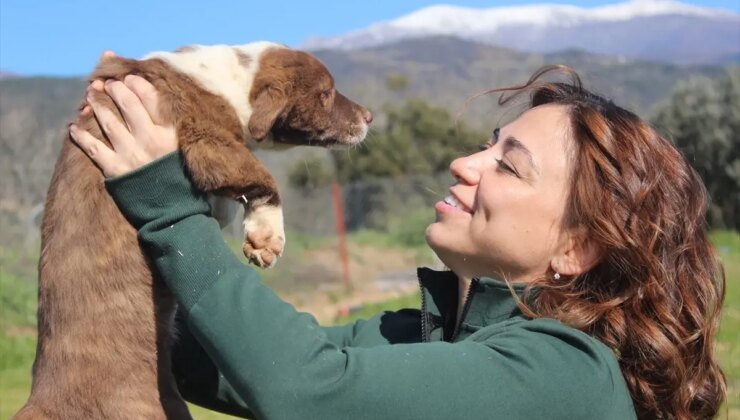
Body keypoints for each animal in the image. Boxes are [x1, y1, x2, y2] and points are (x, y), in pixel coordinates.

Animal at [15, 42, 376, 420]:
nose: (369, 117)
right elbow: (262, 178)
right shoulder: (209, 140)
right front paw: (267, 236)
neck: (232, 79)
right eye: (326, 93)